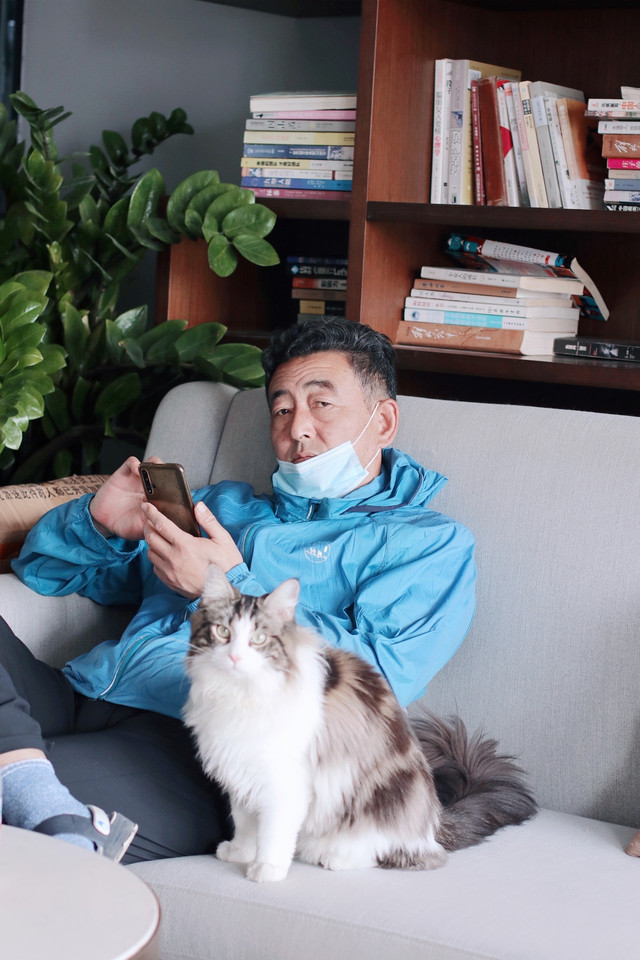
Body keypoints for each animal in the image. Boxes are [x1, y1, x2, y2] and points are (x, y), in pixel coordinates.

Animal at [183, 563, 537, 883]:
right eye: (223, 632)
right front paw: (240, 852)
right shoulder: (240, 770)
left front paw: (266, 869)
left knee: (388, 852)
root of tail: (433, 822)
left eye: (258, 638)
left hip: (384, 804)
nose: (235, 658)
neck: (238, 694)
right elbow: (244, 822)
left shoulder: (283, 782)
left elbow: (273, 833)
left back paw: (336, 858)